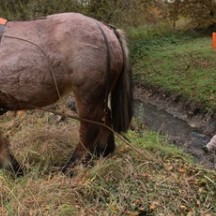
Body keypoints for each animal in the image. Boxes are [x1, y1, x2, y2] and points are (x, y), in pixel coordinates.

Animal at [0, 12, 133, 176]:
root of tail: (107, 31)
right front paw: (13, 167)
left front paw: (13, 168)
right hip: (98, 96)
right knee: (105, 118)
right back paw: (101, 153)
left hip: (87, 96)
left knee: (89, 130)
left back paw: (70, 167)